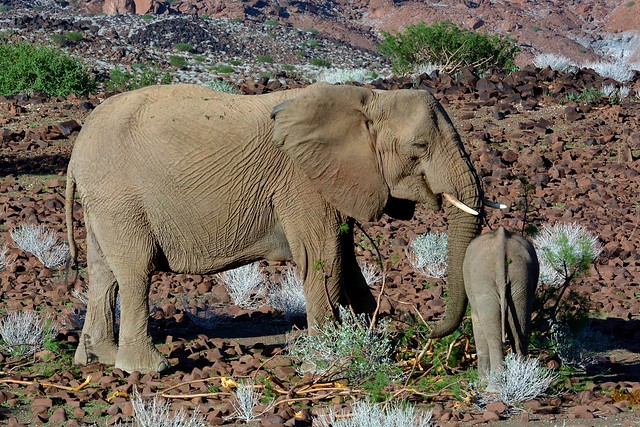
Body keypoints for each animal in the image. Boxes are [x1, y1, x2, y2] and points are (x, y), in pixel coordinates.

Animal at [66, 82, 484, 372]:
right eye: (420, 146)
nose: (427, 331)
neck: (368, 98)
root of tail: (76, 151)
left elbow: (346, 261)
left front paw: (374, 339)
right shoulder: (302, 181)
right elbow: (324, 259)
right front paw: (327, 363)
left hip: (103, 202)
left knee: (102, 271)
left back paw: (98, 358)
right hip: (120, 198)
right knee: (135, 271)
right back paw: (149, 368)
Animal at [462, 227, 536, 378]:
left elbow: (478, 327)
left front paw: (482, 380)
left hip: (483, 284)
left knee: (493, 336)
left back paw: (494, 382)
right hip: (521, 281)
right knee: (520, 333)